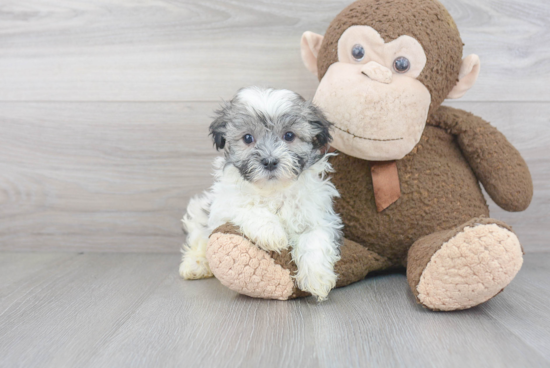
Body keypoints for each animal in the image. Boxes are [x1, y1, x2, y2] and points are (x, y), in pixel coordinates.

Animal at [181, 87, 342, 302]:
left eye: (289, 135)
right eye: (248, 138)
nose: (270, 161)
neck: (274, 190)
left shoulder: (317, 215)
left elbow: (315, 240)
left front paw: (317, 278)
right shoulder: (224, 204)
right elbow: (246, 206)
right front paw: (271, 232)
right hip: (200, 211)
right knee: (199, 237)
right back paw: (195, 264)